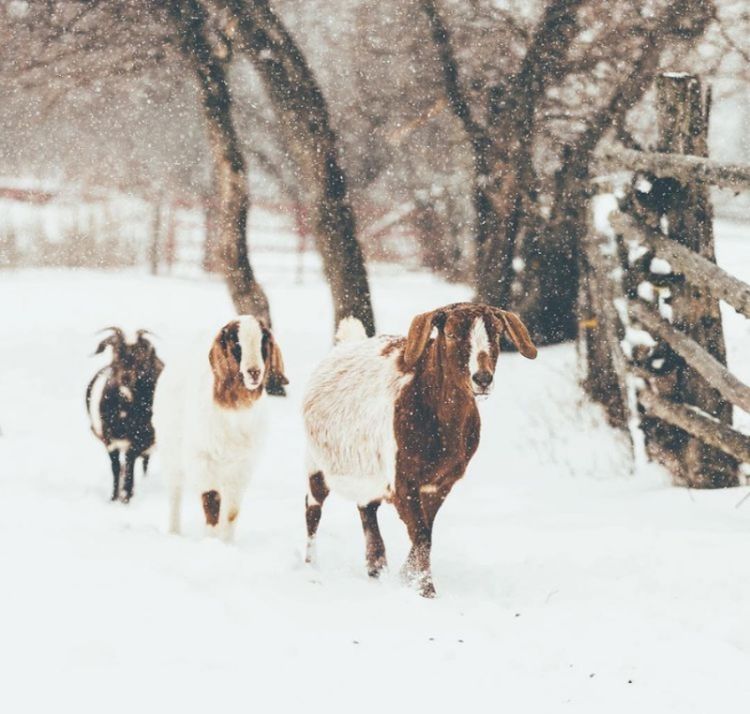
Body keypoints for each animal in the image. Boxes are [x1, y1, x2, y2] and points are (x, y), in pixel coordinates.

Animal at [154, 316, 290, 540]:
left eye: (263, 344)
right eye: (237, 345)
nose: (254, 372)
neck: (235, 409)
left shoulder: (242, 466)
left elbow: (232, 512)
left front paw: (226, 543)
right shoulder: (203, 460)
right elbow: (211, 503)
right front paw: (211, 541)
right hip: (170, 452)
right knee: (175, 492)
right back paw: (174, 533)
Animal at [302, 302, 536, 596]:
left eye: (495, 334)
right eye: (450, 334)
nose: (482, 378)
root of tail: (346, 342)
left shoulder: (439, 483)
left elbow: (426, 531)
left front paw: (407, 577)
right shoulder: (403, 480)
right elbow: (423, 534)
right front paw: (425, 590)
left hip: (367, 472)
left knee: (367, 509)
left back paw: (376, 568)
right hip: (316, 463)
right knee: (313, 508)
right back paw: (311, 567)